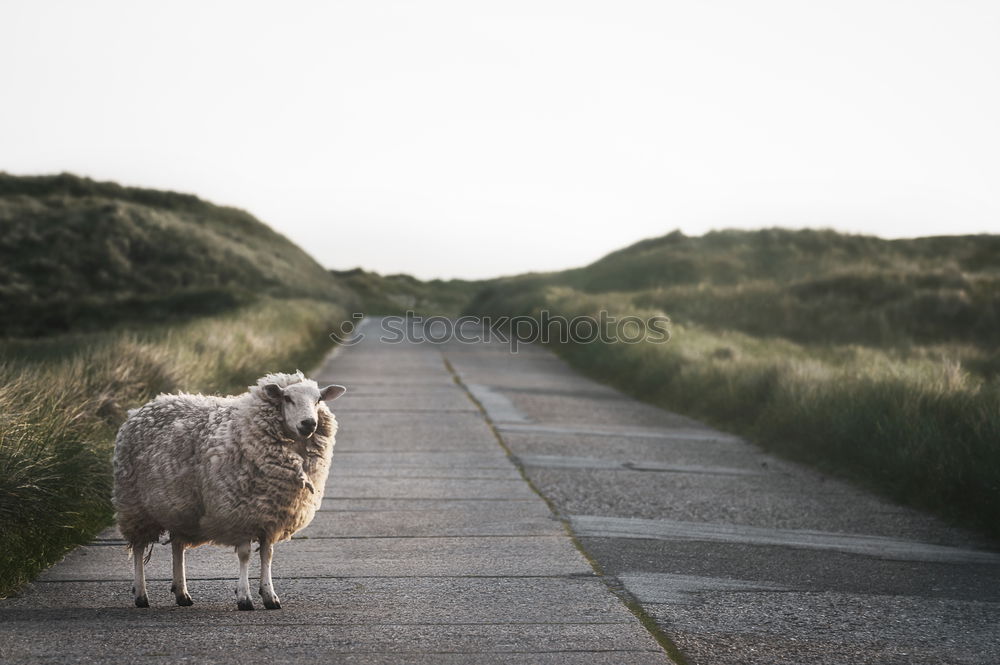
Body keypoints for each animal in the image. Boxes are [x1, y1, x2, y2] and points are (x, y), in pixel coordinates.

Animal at [113, 370, 346, 608]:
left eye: (318, 400)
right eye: (288, 399)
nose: (309, 423)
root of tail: (144, 407)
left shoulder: (269, 516)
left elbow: (267, 555)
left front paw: (269, 595)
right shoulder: (240, 513)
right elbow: (244, 555)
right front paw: (244, 597)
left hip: (181, 508)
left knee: (177, 546)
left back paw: (182, 593)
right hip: (134, 506)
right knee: (139, 548)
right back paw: (141, 595)